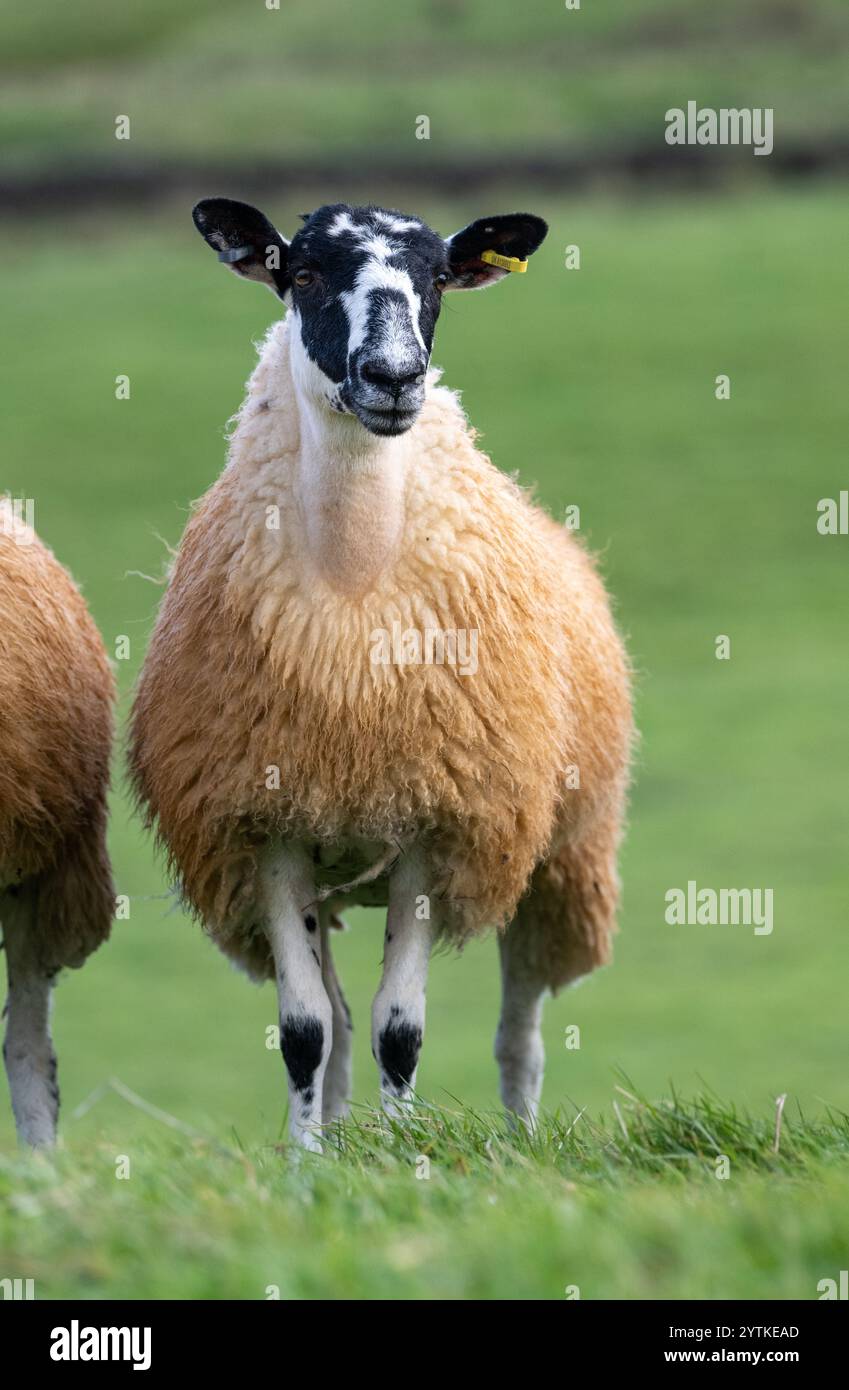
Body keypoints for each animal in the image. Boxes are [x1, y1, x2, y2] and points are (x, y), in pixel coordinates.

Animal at [130, 199, 632, 1151]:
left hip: (552, 854)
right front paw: (307, 1166)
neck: (353, 575)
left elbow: (401, 1029)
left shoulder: (438, 828)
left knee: (520, 1029)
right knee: (333, 1019)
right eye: (302, 273)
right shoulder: (268, 830)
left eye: (436, 278)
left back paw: (519, 1141)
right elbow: (305, 1031)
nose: (394, 379)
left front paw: (402, 1158)